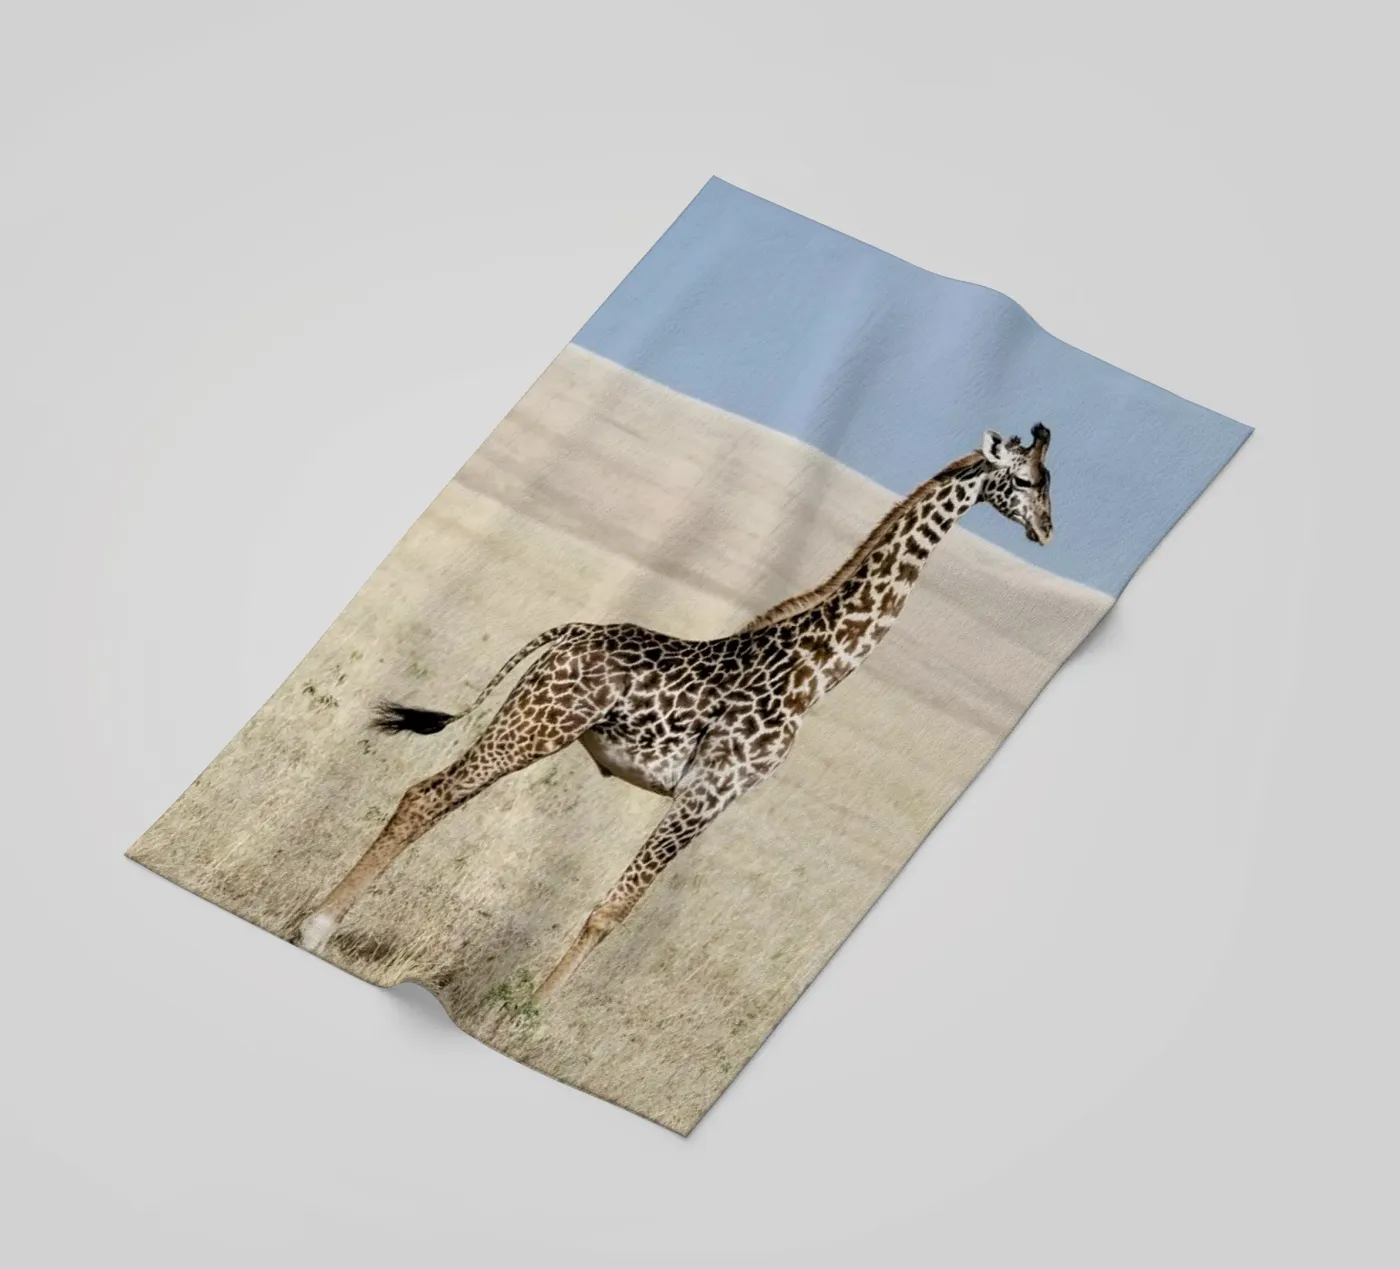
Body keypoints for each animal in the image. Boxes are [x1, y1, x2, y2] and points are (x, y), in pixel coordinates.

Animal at [295, 424, 1055, 1003]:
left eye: (1048, 482)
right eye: (1023, 480)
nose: (1049, 530)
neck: (817, 674)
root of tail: (571, 632)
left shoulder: (716, 800)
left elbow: (616, 907)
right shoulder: (709, 792)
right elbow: (613, 909)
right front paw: (526, 1014)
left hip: (529, 723)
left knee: (436, 797)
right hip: (536, 726)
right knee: (426, 796)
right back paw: (316, 925)